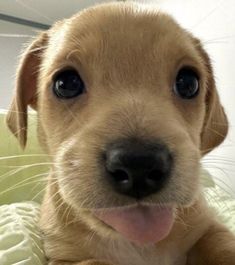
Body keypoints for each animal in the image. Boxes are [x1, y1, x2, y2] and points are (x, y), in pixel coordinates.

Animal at [5, 2, 235, 264]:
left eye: (188, 83)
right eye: (66, 84)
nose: (139, 165)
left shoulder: (209, 227)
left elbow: (222, 245)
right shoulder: (63, 257)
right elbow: (93, 261)